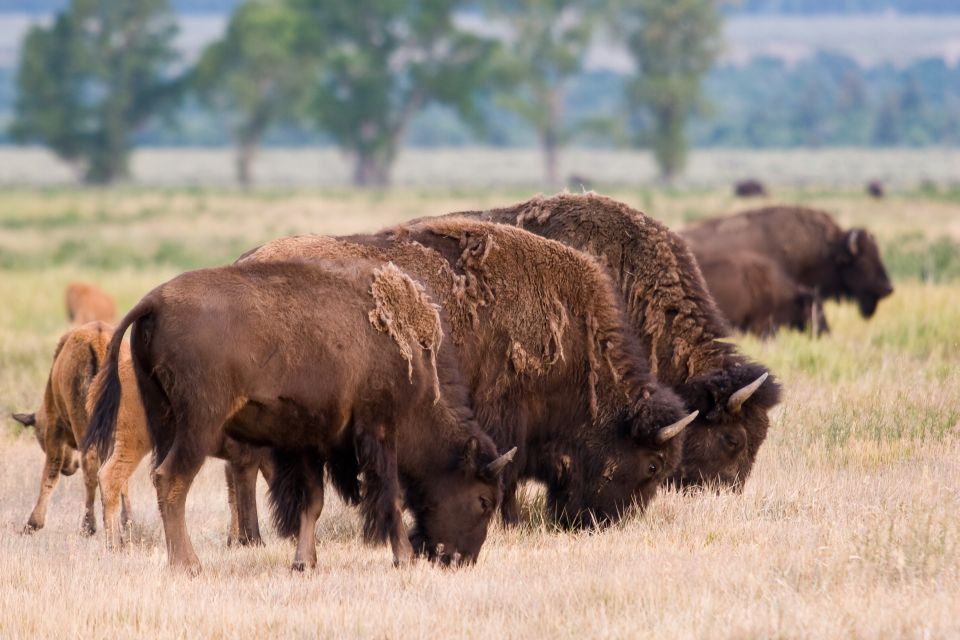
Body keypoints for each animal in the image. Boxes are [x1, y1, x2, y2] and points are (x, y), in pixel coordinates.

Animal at [86, 258, 512, 572]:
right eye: (483, 501)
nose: (461, 560)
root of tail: (155, 301)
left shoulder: (308, 442)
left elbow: (313, 502)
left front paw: (303, 562)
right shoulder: (379, 432)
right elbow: (389, 498)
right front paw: (403, 559)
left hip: (163, 421)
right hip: (198, 426)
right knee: (171, 479)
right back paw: (188, 565)